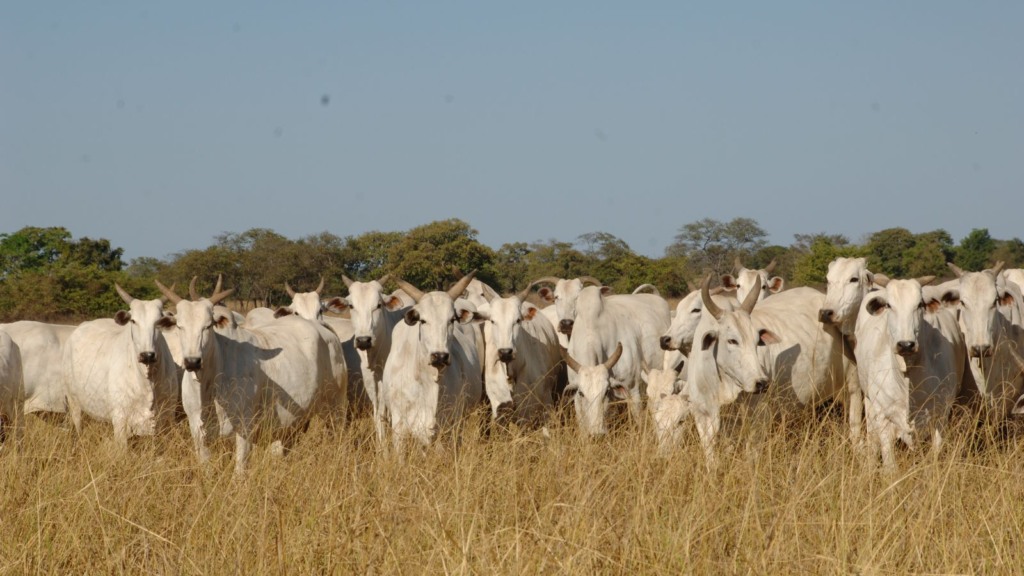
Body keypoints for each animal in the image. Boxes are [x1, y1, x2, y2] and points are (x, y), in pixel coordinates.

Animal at [157, 278, 337, 471]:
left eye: (208, 325)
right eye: (179, 326)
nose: (192, 361)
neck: (209, 385)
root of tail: (320, 328)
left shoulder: (245, 428)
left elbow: (240, 470)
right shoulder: (197, 431)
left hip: (336, 405)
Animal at [856, 276, 966, 469]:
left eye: (919, 304)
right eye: (889, 305)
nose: (906, 344)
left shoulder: (941, 414)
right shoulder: (883, 416)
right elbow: (890, 466)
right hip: (869, 403)